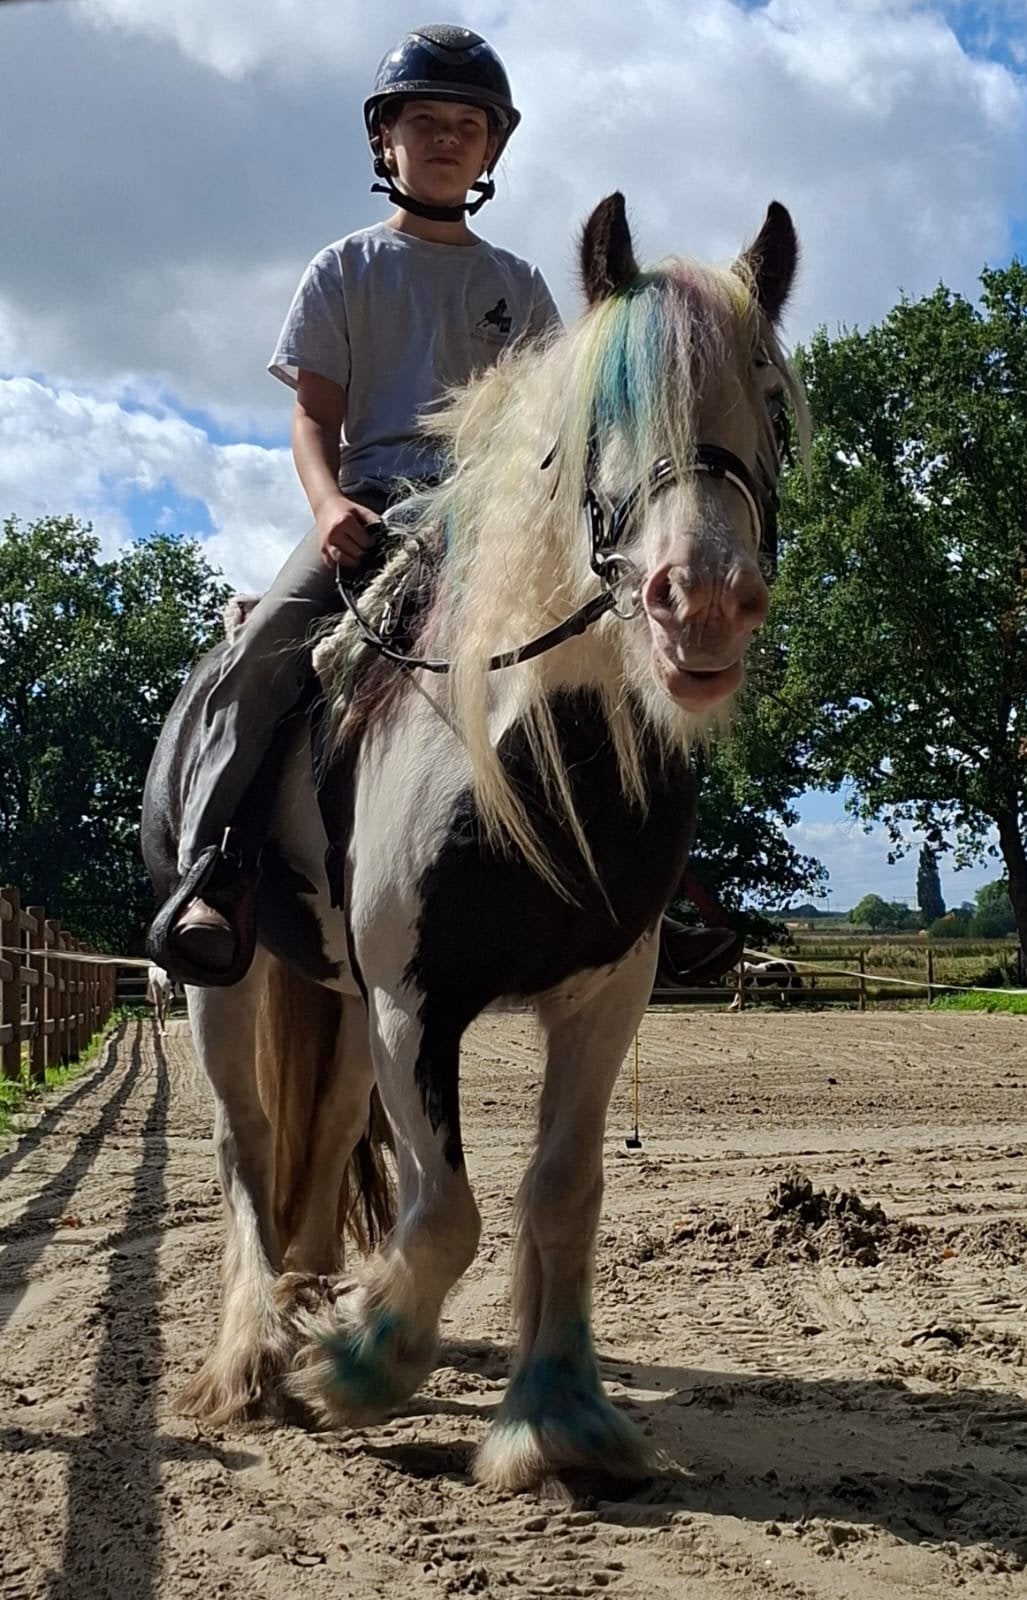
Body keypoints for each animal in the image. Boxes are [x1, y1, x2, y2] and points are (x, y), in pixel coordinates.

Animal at [142, 192, 805, 1491]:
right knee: (246, 1145)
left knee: (323, 1137)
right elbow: (448, 1210)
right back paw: (254, 1356)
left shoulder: (604, 997)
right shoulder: (418, 1003)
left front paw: (559, 1415)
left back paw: (311, 1293)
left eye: (767, 397)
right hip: (219, 982)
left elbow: (560, 1190)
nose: (701, 599)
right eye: (598, 420)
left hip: (335, 996)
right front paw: (357, 1367)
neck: (529, 753)